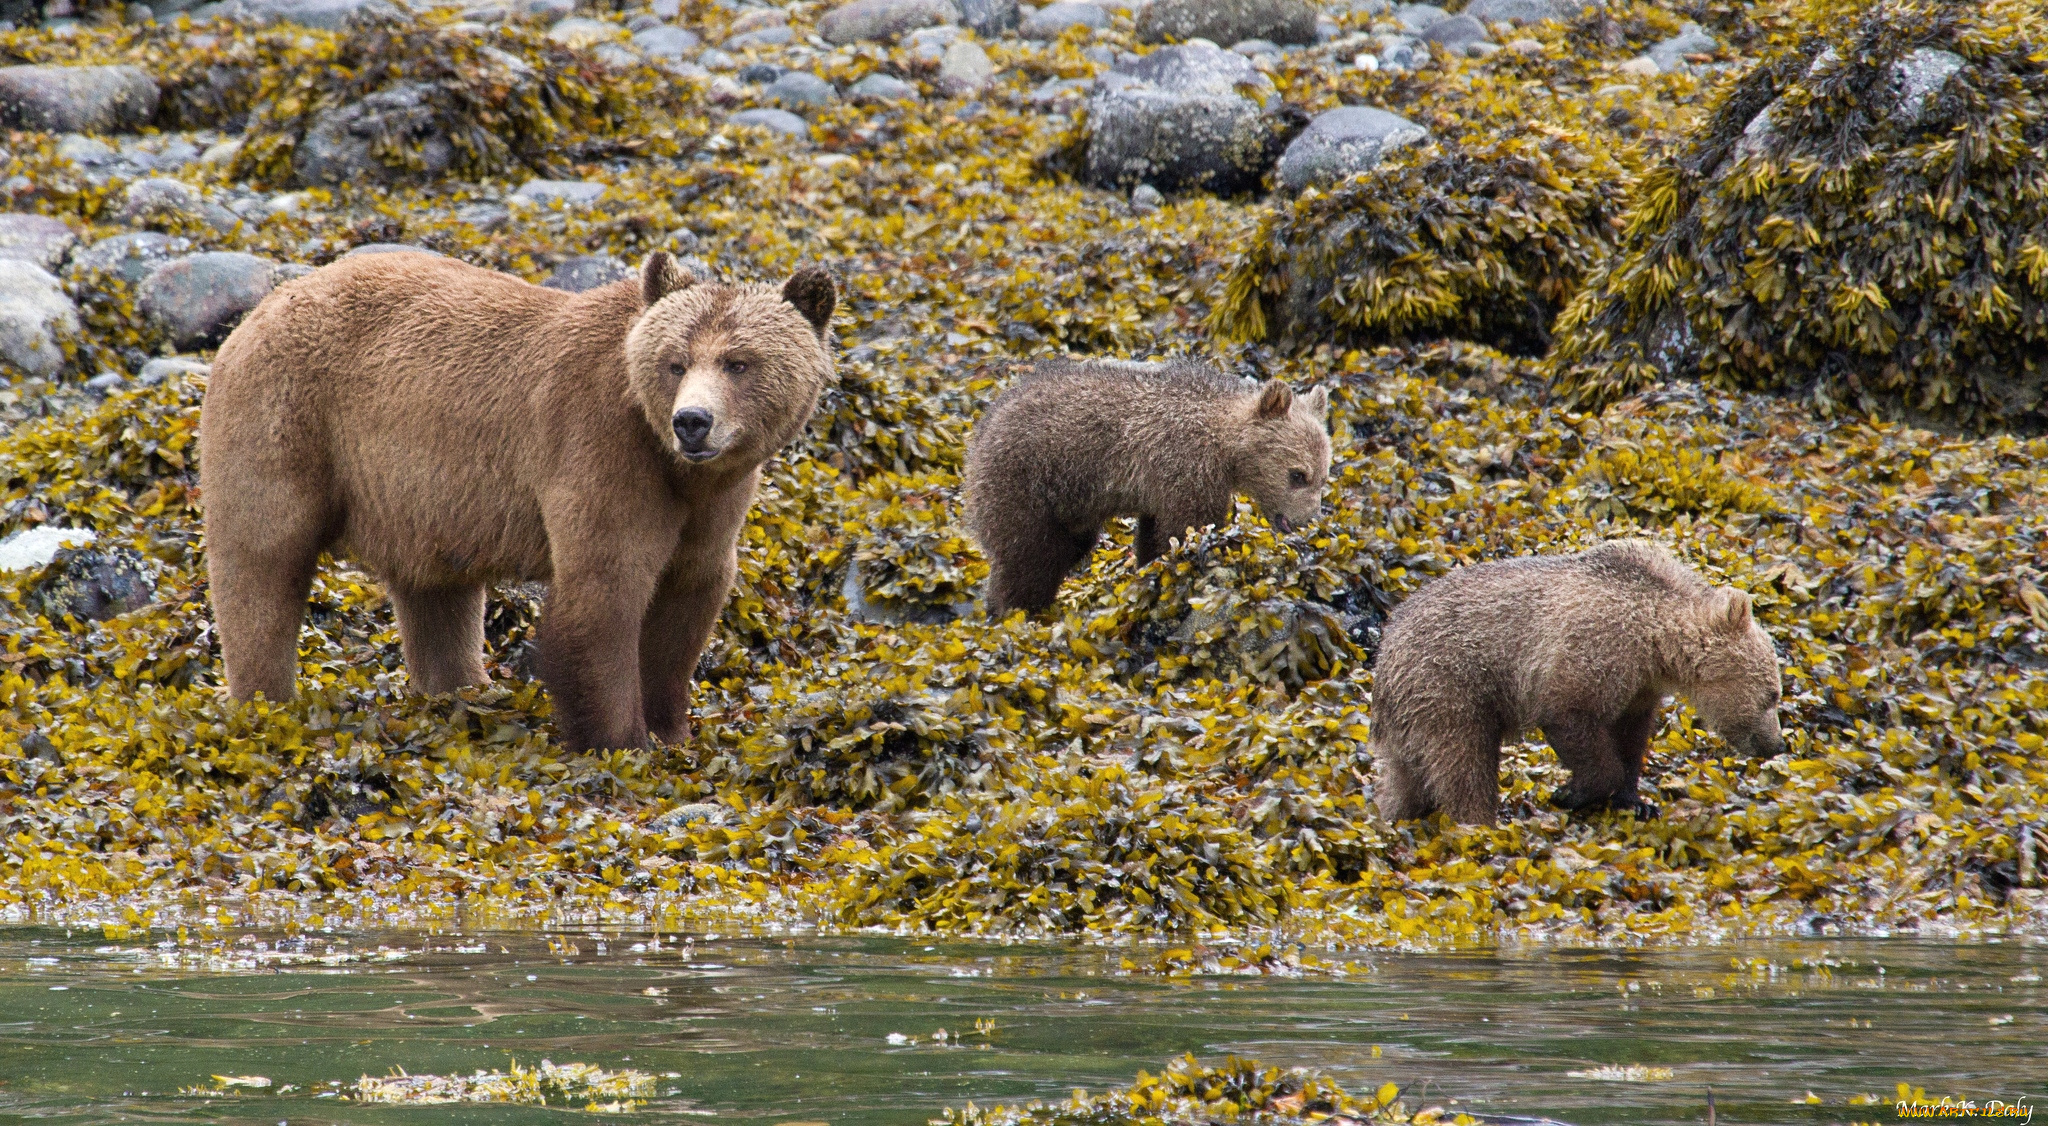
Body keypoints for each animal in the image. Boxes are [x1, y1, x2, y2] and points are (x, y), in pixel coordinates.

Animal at [193, 251, 831, 753]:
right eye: (675, 362)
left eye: (739, 361)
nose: (692, 421)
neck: (676, 469)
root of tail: (257, 313)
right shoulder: (601, 451)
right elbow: (604, 595)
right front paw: (619, 740)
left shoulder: (713, 505)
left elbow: (689, 598)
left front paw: (672, 730)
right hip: (289, 421)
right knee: (262, 564)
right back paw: (265, 702)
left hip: (421, 499)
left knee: (438, 599)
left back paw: (464, 691)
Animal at [958, 360, 1327, 618]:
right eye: (1298, 475)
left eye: (1323, 477)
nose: (1304, 521)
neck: (1225, 445)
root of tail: (980, 432)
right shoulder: (1186, 468)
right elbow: (1189, 526)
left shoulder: (1159, 490)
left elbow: (1154, 536)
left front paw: (1149, 570)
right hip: (1027, 484)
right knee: (1028, 556)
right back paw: (1014, 609)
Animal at [1368, 544, 1785, 827]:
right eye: (1772, 695)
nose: (1777, 744)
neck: (1654, 639)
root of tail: (1384, 653)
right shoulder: (1588, 651)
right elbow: (1571, 719)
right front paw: (1570, 793)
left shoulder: (1637, 686)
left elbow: (1630, 738)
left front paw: (1636, 801)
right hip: (1448, 684)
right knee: (1463, 760)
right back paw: (1481, 821)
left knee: (1408, 779)